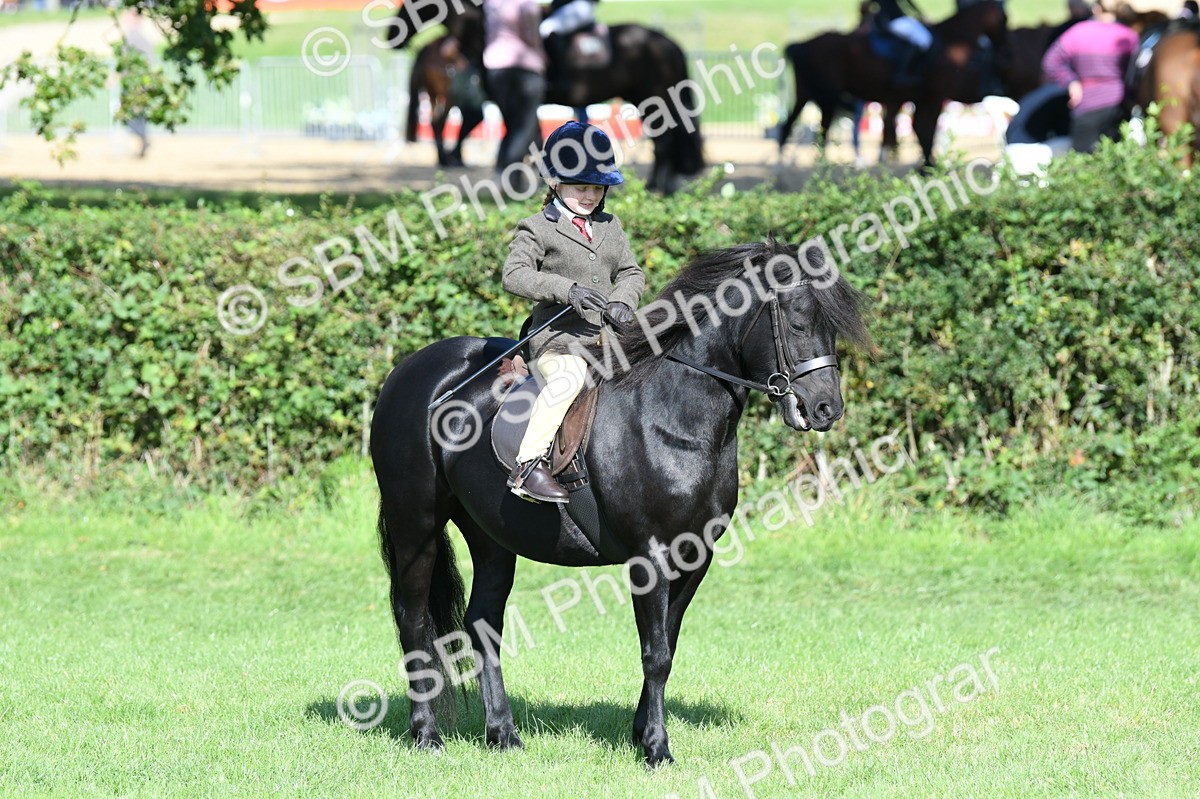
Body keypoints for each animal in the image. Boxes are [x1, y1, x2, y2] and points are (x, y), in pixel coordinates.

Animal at [370, 240, 872, 764]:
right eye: (797, 323)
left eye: (831, 328)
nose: (826, 409)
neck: (671, 415)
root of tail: (408, 372)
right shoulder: (648, 556)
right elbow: (656, 652)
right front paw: (657, 748)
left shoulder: (695, 555)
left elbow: (667, 642)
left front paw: (641, 733)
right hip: (416, 523)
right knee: (412, 620)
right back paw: (426, 735)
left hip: (491, 538)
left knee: (483, 624)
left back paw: (503, 735)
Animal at [406, 34, 487, 167]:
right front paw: (455, 157)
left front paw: (456, 156)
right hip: (449, 97)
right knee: (440, 121)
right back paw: (444, 159)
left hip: (434, 94)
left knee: (434, 121)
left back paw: (443, 158)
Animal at [779, 0, 1009, 168]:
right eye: (1005, 19)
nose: (1004, 50)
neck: (951, 42)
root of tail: (805, 42)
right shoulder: (933, 97)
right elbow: (923, 130)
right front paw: (929, 166)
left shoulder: (910, 99)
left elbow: (904, 131)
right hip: (825, 97)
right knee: (818, 129)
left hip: (807, 94)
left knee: (792, 125)